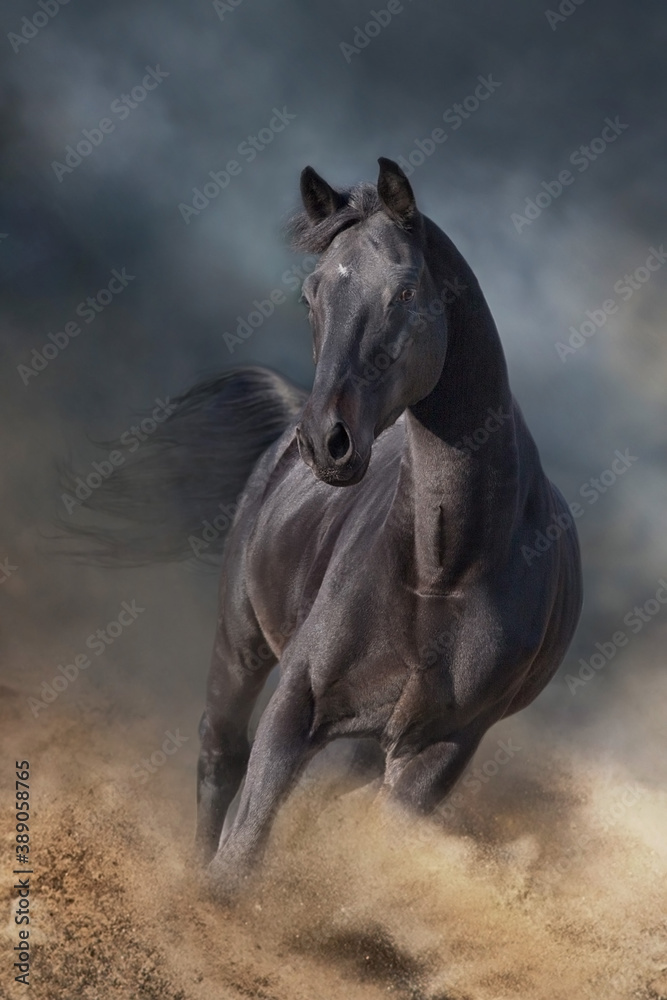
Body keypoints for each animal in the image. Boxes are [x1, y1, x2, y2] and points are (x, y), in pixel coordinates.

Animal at [61, 158, 582, 899]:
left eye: (402, 292)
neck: (443, 570)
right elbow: (244, 843)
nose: (326, 441)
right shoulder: (298, 701)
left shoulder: (439, 748)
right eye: (311, 294)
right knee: (221, 754)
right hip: (241, 645)